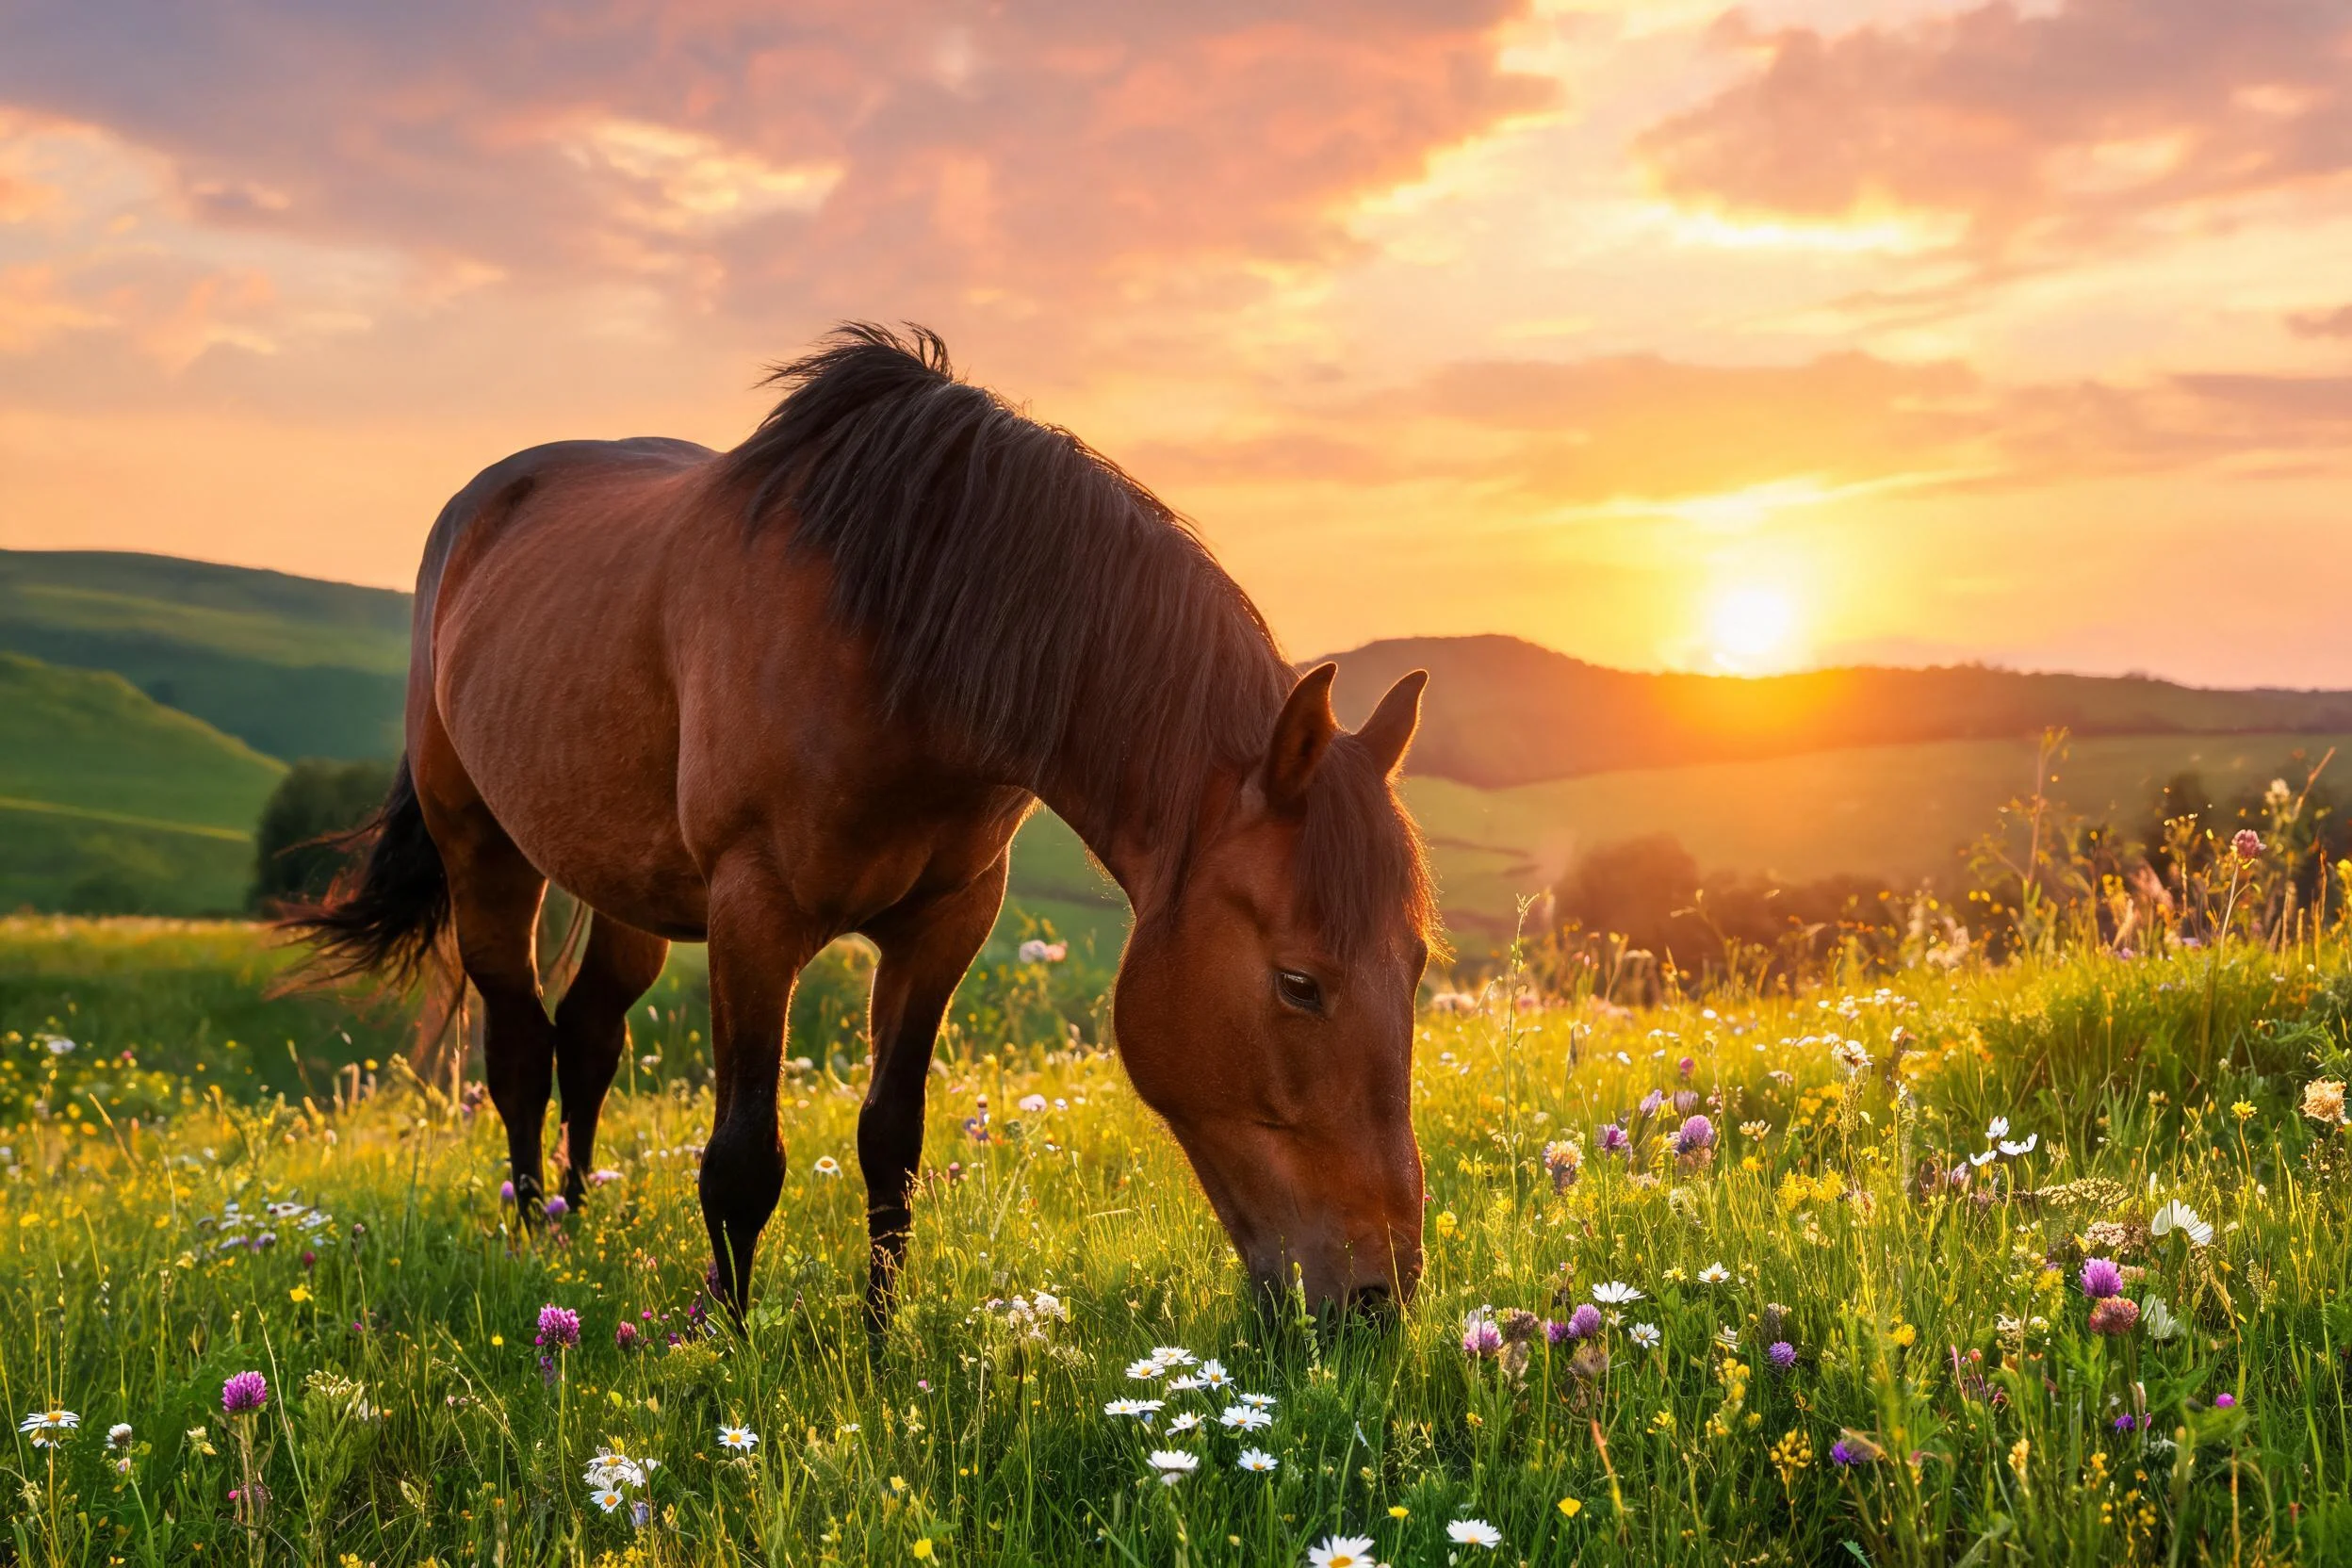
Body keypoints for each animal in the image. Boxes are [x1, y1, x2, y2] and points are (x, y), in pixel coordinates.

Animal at [291, 324, 1438, 1323]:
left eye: (1418, 965)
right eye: (1298, 983)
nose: (1376, 1299)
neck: (891, 641)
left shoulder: (947, 921)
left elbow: (893, 1144)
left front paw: (883, 1344)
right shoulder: (755, 912)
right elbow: (742, 1163)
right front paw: (728, 1355)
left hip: (629, 884)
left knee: (589, 1035)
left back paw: (579, 1219)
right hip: (485, 850)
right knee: (522, 1045)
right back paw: (538, 1240)